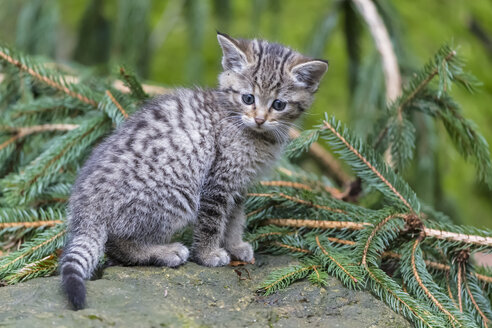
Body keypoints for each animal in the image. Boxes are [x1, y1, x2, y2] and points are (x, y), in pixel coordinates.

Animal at [61, 32, 328, 310]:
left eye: (278, 104)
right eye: (248, 98)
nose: (260, 119)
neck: (250, 131)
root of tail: (85, 207)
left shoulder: (238, 185)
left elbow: (235, 218)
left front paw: (235, 245)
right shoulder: (218, 180)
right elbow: (212, 222)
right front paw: (209, 254)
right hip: (177, 195)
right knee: (119, 243)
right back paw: (165, 252)